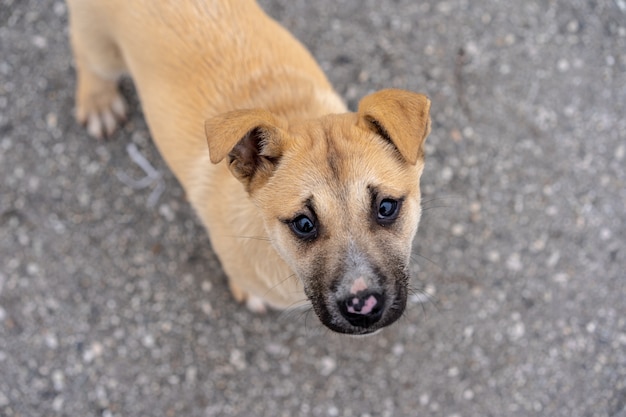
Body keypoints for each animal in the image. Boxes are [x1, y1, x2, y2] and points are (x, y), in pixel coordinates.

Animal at [67, 0, 428, 334]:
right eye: (303, 224)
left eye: (386, 207)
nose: (363, 305)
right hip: (100, 44)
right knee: (86, 56)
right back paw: (98, 102)